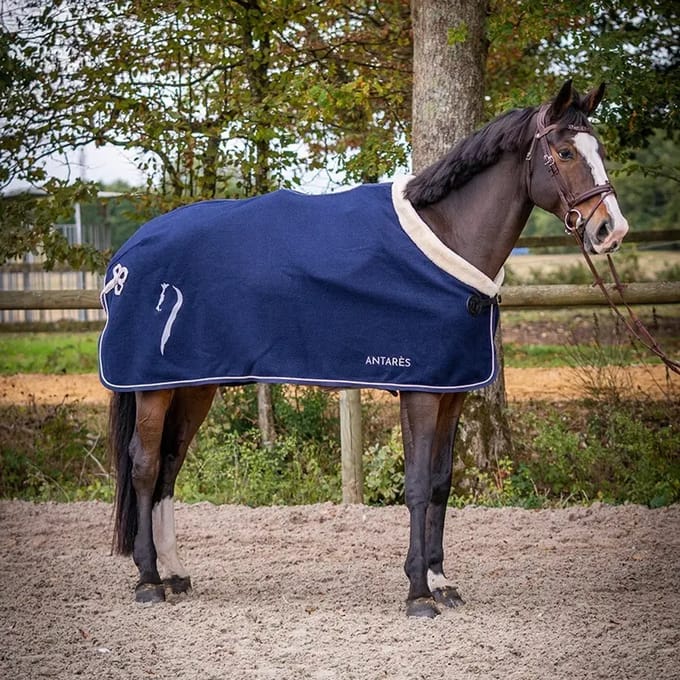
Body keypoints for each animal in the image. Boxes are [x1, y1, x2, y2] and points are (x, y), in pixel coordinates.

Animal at [103, 80, 629, 618]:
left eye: (600, 151)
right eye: (565, 152)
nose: (611, 230)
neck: (447, 237)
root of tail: (127, 253)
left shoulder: (452, 391)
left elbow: (440, 482)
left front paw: (441, 581)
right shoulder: (421, 391)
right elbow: (416, 485)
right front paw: (418, 593)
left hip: (192, 384)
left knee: (169, 466)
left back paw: (175, 573)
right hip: (152, 386)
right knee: (144, 466)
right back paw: (149, 580)